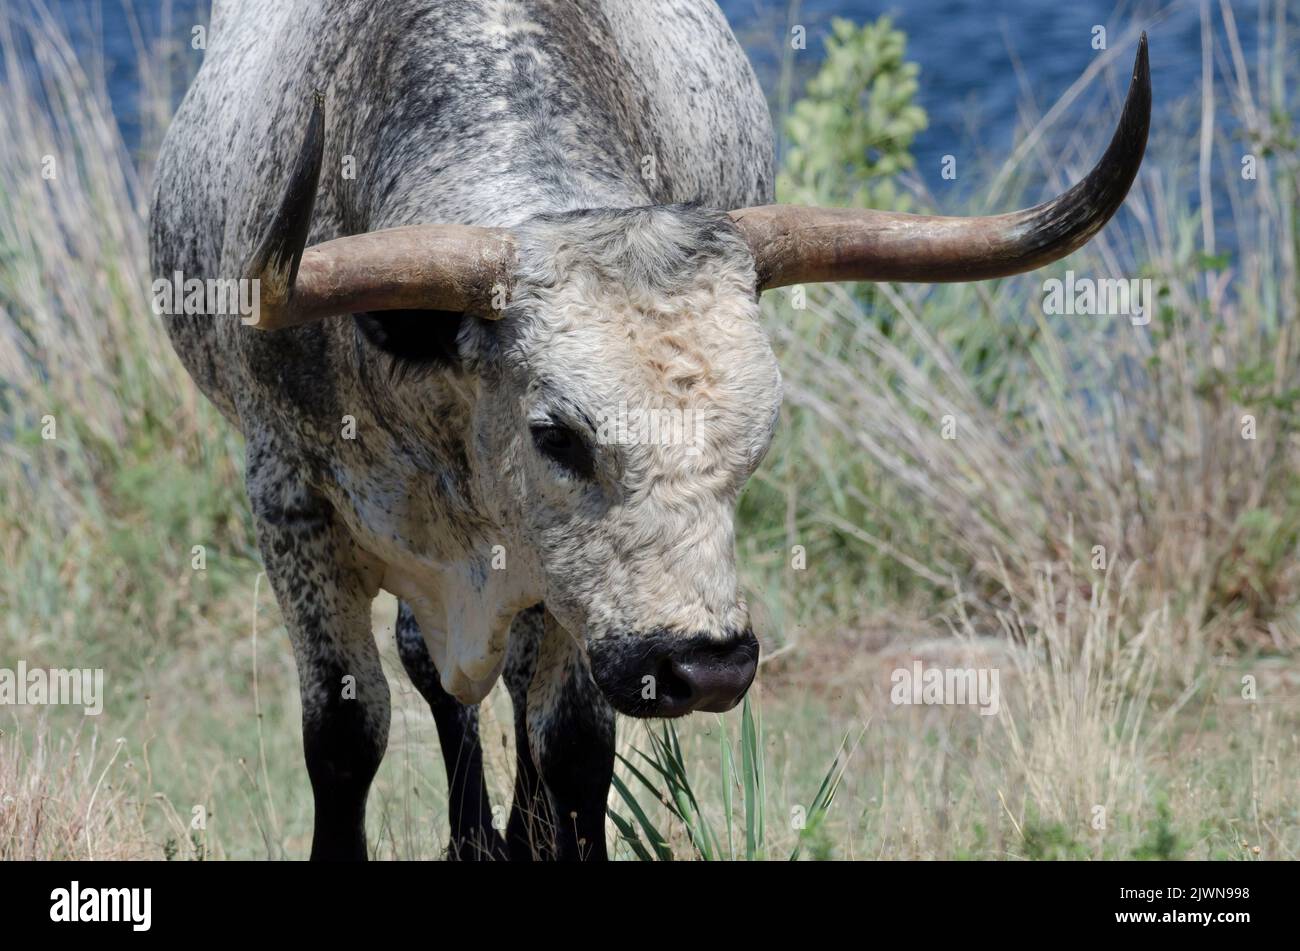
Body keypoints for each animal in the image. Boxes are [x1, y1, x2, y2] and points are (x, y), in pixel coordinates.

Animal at [147, 0, 1154, 857]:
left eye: (759, 436)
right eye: (556, 434)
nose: (705, 667)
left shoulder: (559, 578)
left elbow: (571, 743)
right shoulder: (290, 504)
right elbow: (346, 735)